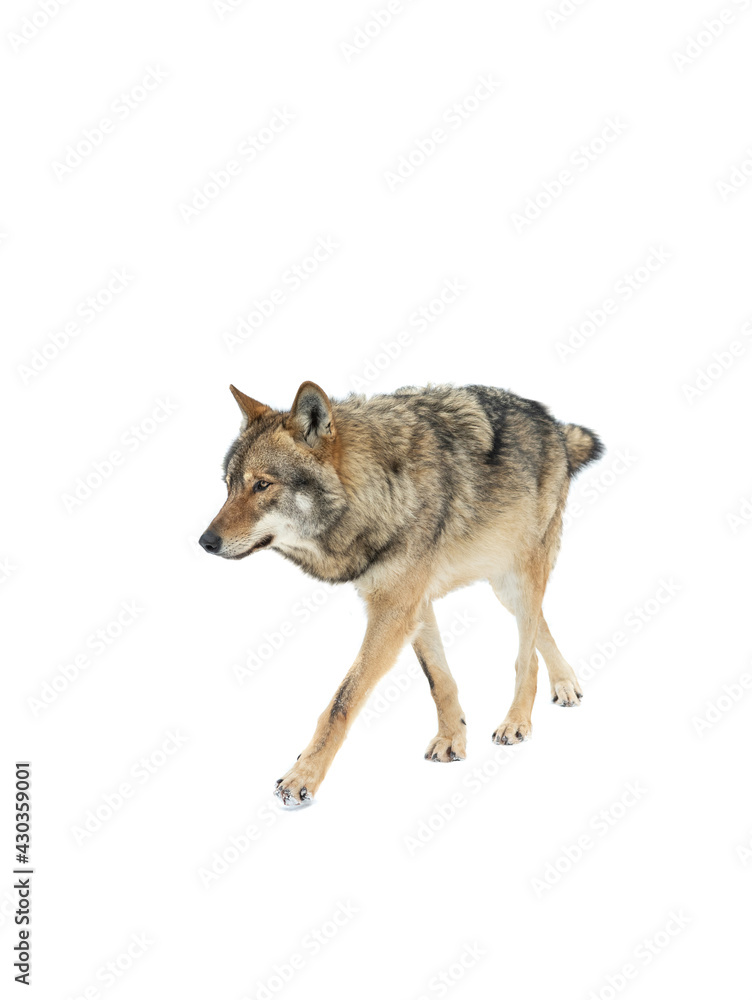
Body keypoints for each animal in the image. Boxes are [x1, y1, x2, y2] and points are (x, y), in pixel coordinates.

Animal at [199, 381, 603, 806]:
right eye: (228, 485)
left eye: (262, 484)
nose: (205, 542)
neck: (380, 491)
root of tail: (550, 421)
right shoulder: (411, 603)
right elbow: (439, 680)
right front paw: (452, 739)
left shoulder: (394, 610)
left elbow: (342, 701)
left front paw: (302, 776)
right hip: (503, 585)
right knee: (541, 623)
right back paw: (566, 683)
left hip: (519, 578)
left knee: (527, 655)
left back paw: (517, 721)